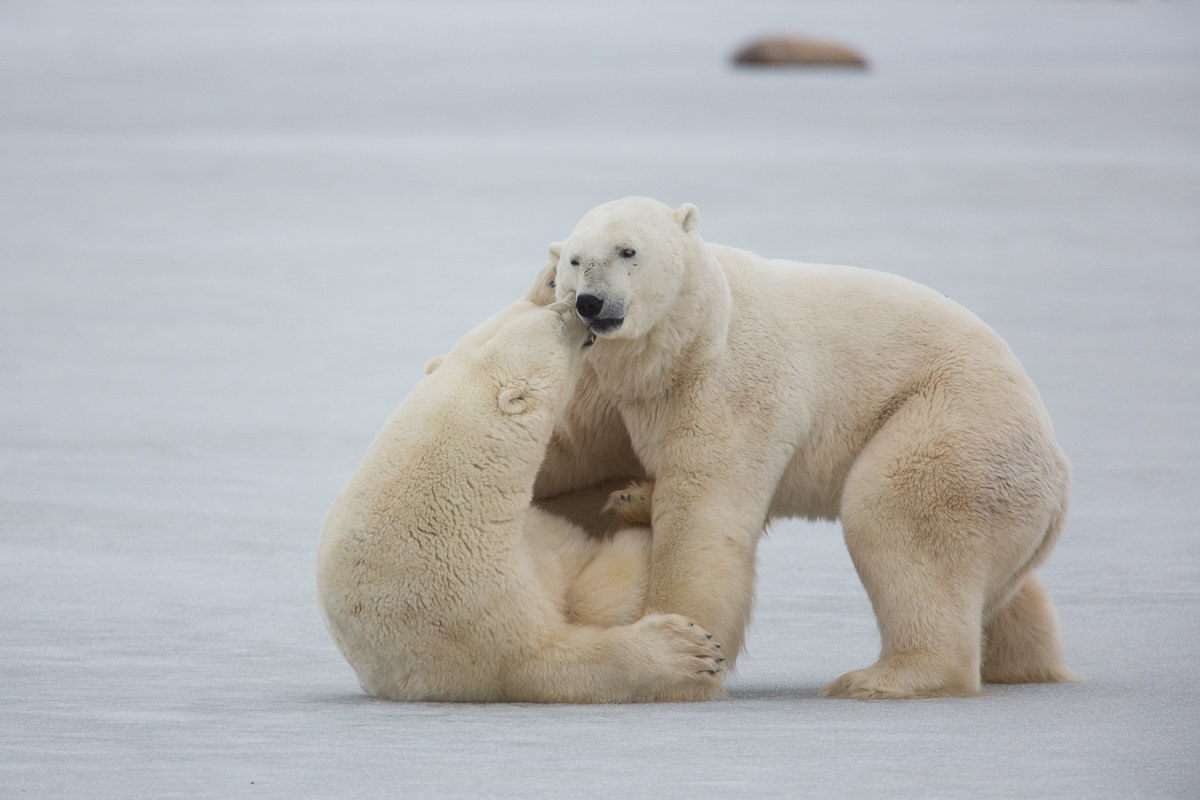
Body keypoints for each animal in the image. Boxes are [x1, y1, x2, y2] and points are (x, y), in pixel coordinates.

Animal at [316, 298, 725, 703]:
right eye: (554, 320)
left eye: (530, 306)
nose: (574, 307)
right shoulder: (481, 600)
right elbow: (564, 638)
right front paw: (689, 650)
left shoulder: (535, 535)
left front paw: (635, 497)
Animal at [531, 196, 1076, 699]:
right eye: (574, 261)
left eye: (628, 250)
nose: (590, 303)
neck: (690, 334)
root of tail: (1059, 473)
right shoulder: (612, 387)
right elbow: (563, 448)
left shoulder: (730, 383)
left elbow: (703, 509)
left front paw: (687, 652)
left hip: (955, 422)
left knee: (899, 517)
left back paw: (882, 678)